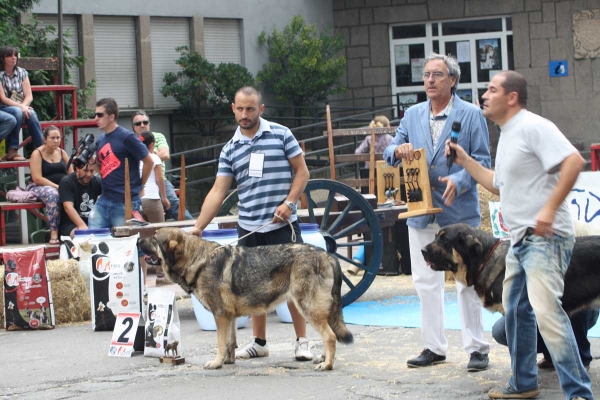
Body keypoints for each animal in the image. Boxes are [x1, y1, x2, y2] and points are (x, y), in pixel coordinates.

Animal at [139, 227, 356, 370]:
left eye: (153, 238)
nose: (138, 240)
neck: (199, 261)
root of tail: (328, 255)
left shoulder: (221, 316)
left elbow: (220, 343)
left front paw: (216, 363)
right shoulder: (230, 317)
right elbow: (230, 343)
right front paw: (228, 361)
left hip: (308, 308)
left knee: (330, 337)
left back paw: (327, 365)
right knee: (329, 335)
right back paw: (323, 358)